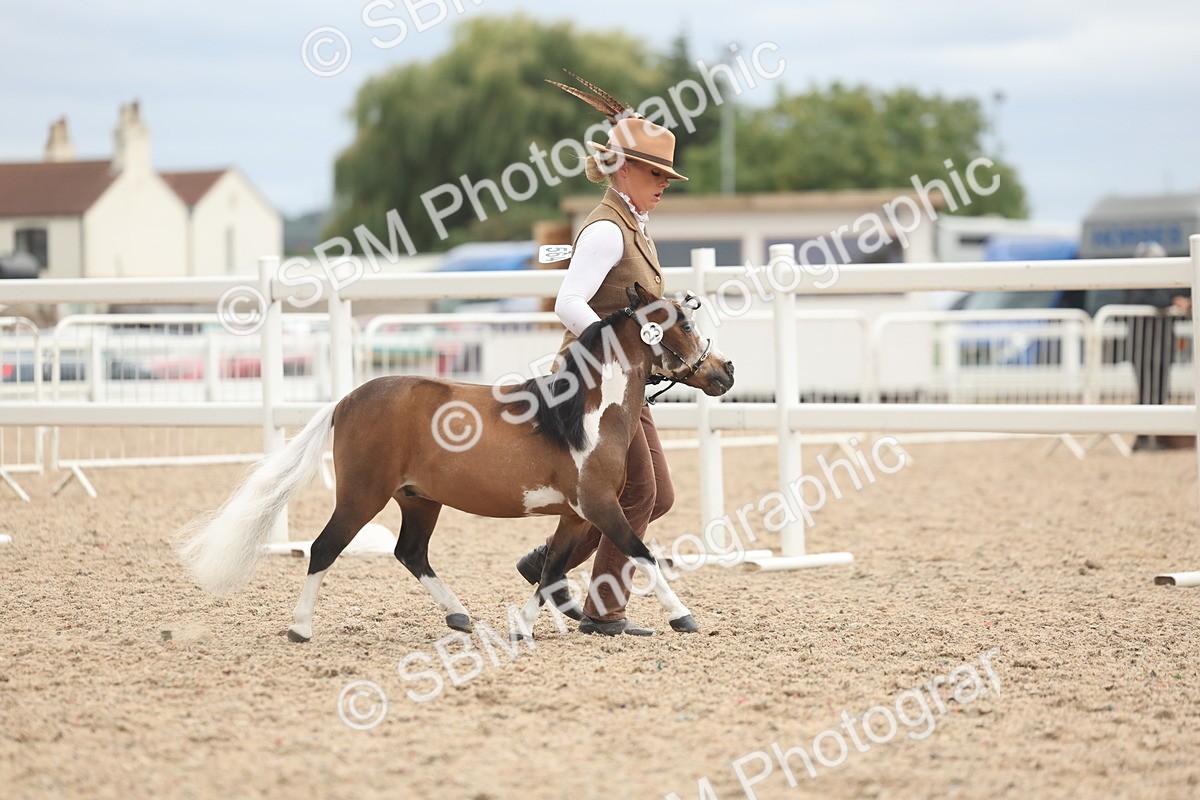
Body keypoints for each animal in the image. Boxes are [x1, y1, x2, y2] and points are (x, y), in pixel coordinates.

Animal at [177, 283, 735, 642]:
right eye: (684, 323)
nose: (725, 371)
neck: (584, 413)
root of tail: (346, 401)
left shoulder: (575, 515)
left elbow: (550, 569)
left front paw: (521, 629)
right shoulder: (598, 505)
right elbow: (641, 553)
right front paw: (683, 617)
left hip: (418, 500)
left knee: (410, 553)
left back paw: (460, 616)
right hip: (362, 495)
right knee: (323, 548)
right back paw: (300, 628)